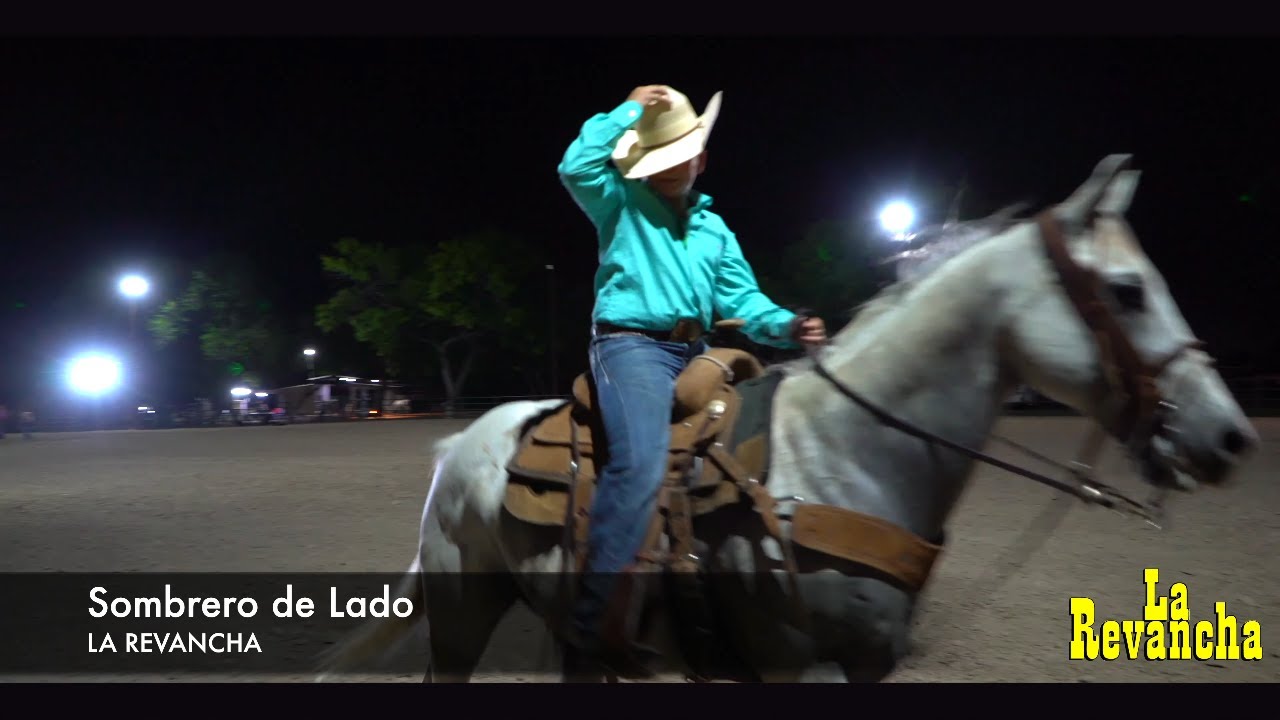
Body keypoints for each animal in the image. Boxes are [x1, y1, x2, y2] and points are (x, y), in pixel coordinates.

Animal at [316, 154, 1260, 683]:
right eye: (1127, 291)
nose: (1231, 436)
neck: (845, 458)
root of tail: (460, 444)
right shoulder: (792, 661)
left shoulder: (869, 662)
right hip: (461, 613)